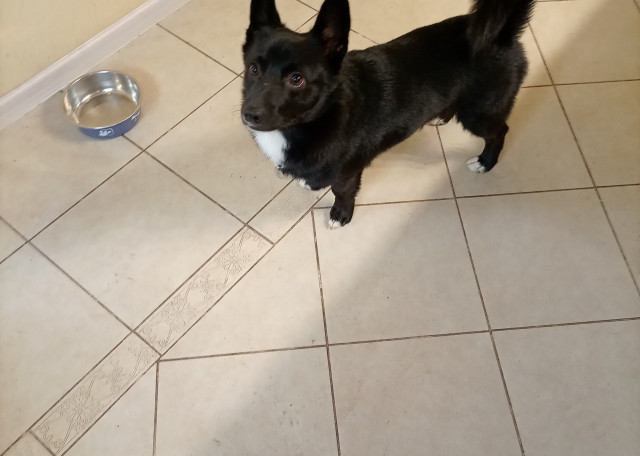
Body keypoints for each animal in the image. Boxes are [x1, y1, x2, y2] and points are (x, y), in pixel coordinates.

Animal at [242, 0, 534, 228]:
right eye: (253, 68)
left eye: (296, 79)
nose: (249, 115)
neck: (320, 116)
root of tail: (503, 33)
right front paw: (312, 184)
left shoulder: (348, 174)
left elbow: (342, 192)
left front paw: (340, 215)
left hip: (480, 115)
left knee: (499, 131)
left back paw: (486, 161)